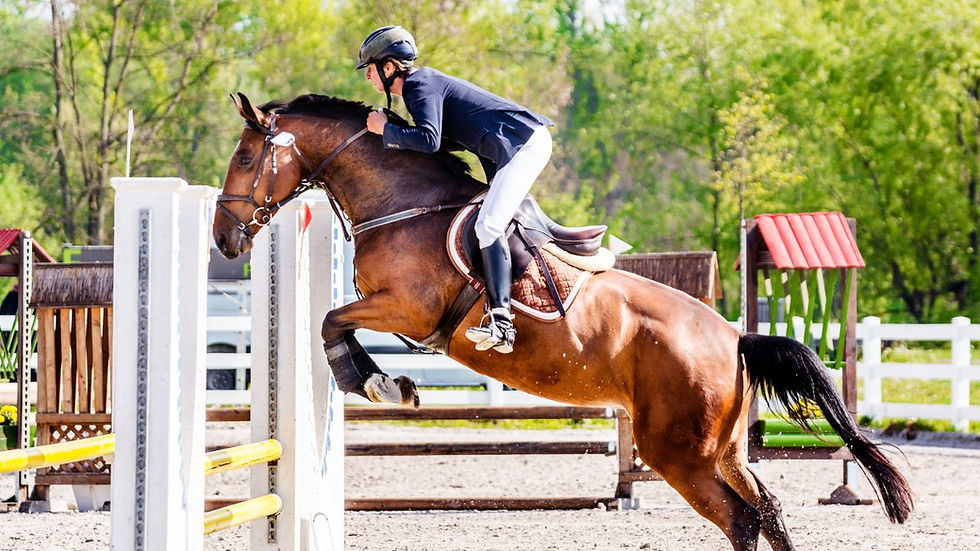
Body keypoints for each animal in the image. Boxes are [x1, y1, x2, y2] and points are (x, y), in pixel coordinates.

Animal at [212, 92, 913, 551]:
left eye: (245, 159)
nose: (223, 239)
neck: (403, 203)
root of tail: (734, 336)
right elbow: (335, 321)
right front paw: (384, 381)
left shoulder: (406, 307)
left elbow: (332, 321)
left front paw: (379, 382)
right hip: (722, 448)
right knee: (765, 509)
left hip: (677, 452)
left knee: (741, 518)